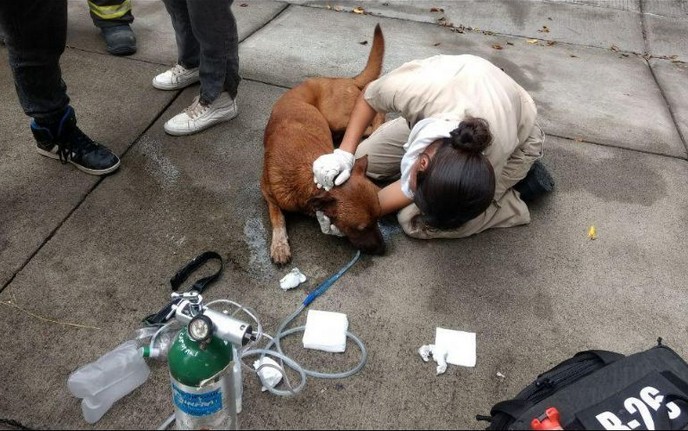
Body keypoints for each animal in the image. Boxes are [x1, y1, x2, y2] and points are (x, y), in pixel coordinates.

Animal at [260, 26, 388, 266]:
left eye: (379, 218)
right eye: (361, 228)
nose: (384, 250)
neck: (306, 171)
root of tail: (341, 79)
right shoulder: (268, 194)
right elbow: (277, 218)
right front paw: (280, 245)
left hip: (340, 118)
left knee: (376, 112)